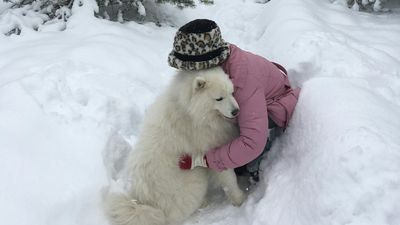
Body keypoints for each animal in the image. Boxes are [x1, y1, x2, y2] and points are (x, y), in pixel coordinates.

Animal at [104, 66, 245, 225]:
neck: (190, 112)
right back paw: (202, 203)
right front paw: (240, 199)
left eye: (232, 92)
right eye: (219, 98)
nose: (236, 111)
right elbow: (229, 178)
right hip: (195, 178)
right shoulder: (211, 148)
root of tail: (147, 204)